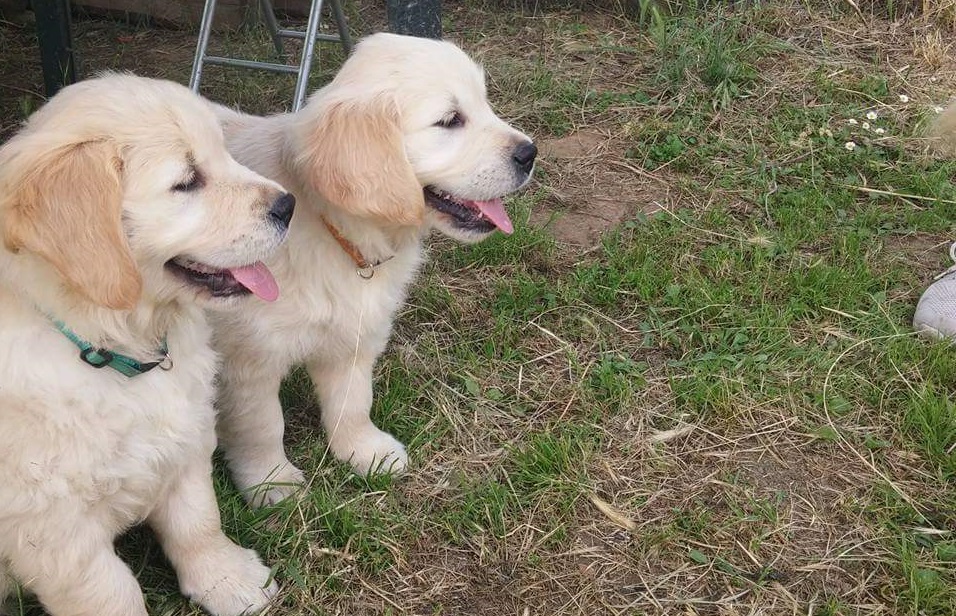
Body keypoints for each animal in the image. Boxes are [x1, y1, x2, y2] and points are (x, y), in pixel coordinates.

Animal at [0, 76, 296, 616]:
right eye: (187, 181)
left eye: (223, 152)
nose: (289, 206)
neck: (114, 347)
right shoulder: (50, 525)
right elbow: (112, 592)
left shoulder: (187, 437)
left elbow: (198, 520)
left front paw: (229, 580)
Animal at [211, 32, 536, 506]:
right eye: (450, 120)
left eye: (485, 102)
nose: (531, 153)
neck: (337, 231)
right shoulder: (247, 360)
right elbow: (262, 425)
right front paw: (272, 482)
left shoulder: (356, 333)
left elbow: (352, 403)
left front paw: (365, 452)